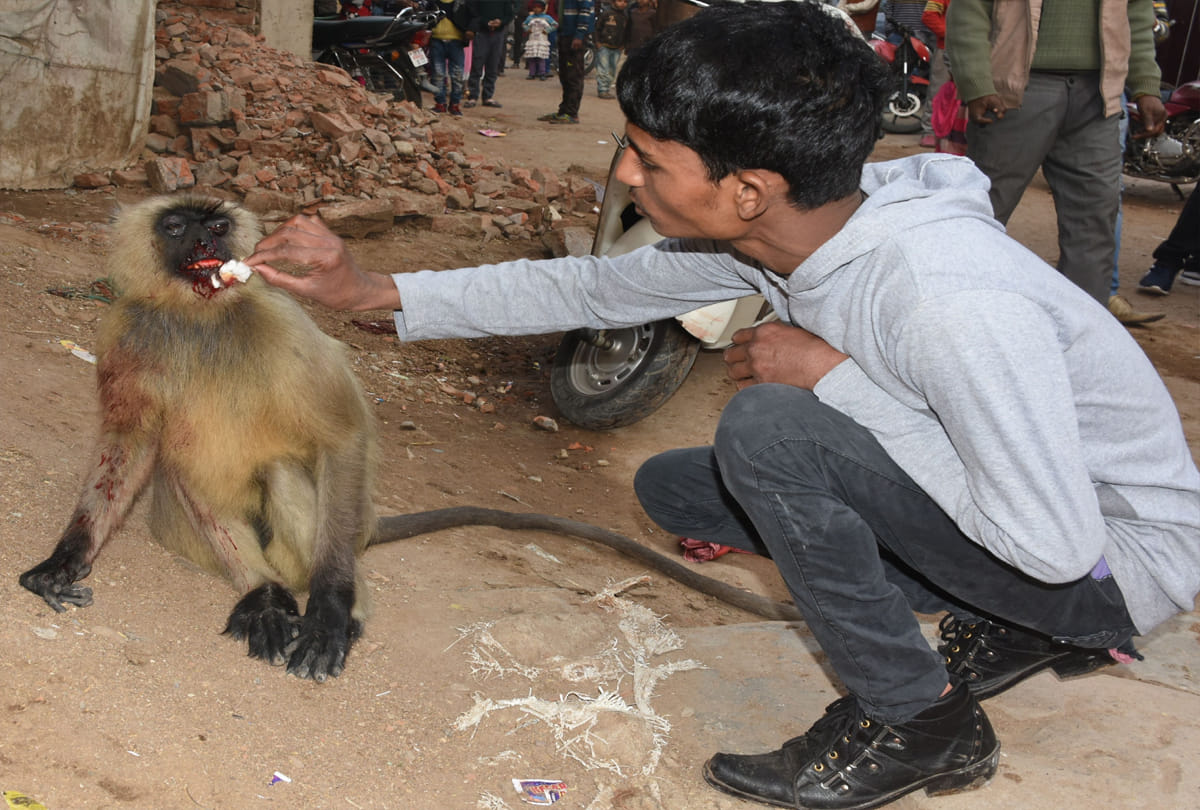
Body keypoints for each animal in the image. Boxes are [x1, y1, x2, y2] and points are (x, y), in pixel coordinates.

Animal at [20, 194, 800, 682]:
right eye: (180, 227)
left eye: (215, 227)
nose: (211, 243)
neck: (197, 318)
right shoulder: (127, 331)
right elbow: (129, 444)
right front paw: (68, 557)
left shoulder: (278, 317)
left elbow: (341, 436)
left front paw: (331, 611)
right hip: (185, 536)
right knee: (184, 472)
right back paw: (263, 600)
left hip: (325, 530)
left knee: (289, 475)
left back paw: (334, 608)